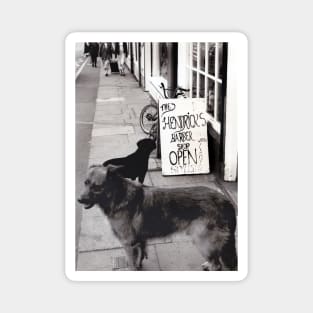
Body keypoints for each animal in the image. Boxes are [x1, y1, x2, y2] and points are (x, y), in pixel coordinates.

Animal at [77, 165, 236, 270]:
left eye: (96, 187)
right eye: (85, 183)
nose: (79, 200)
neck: (118, 195)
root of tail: (225, 200)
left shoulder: (128, 245)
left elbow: (132, 265)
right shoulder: (139, 241)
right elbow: (140, 256)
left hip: (202, 241)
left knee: (217, 265)